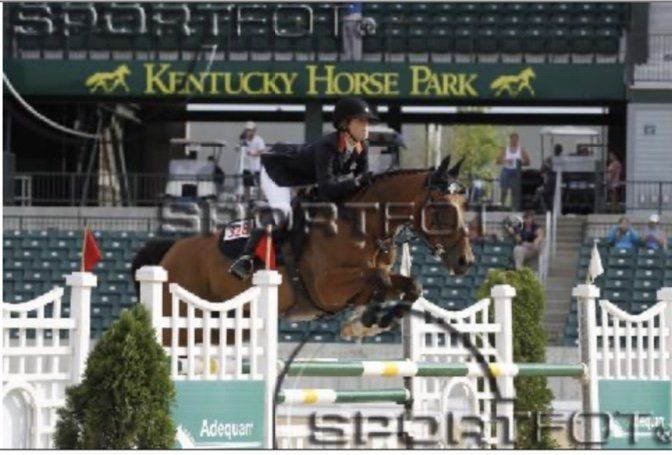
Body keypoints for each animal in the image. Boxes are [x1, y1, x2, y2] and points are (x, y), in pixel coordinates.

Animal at [131, 155, 474, 344]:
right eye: (441, 206)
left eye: (464, 203)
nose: (465, 262)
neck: (362, 225)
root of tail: (171, 251)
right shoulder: (327, 287)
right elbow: (382, 280)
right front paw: (363, 323)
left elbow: (409, 284)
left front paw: (374, 323)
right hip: (181, 319)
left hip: (222, 326)